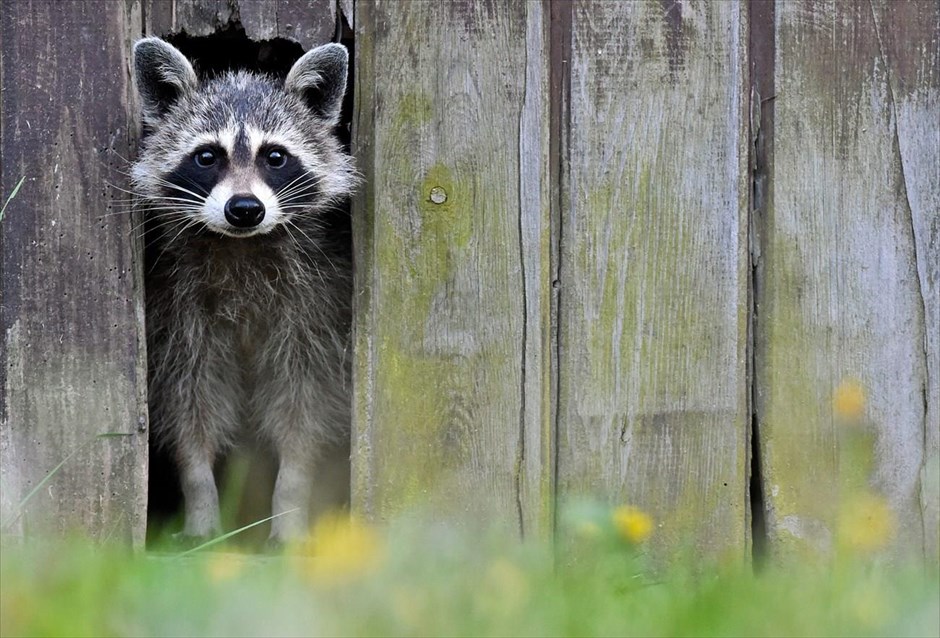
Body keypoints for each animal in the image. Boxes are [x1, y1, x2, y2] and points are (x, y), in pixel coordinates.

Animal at [130, 36, 354, 544]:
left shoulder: (316, 309)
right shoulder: (177, 314)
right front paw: (199, 495)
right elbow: (189, 404)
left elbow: (304, 407)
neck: (241, 245)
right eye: (206, 156)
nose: (245, 208)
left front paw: (291, 498)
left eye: (275, 157)